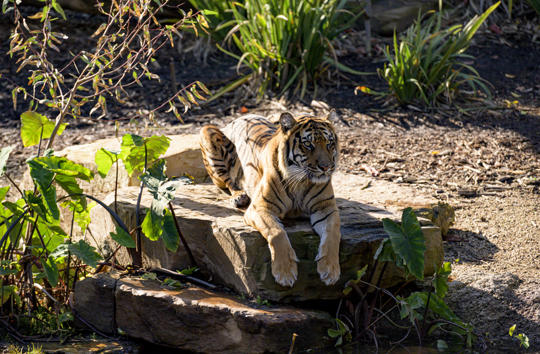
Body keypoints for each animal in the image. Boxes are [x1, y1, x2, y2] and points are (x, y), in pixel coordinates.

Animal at [198, 111, 342, 288]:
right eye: (308, 144)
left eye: (329, 143)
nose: (326, 167)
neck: (301, 181)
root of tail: (238, 118)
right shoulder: (259, 208)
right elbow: (276, 232)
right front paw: (285, 272)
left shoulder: (326, 208)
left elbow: (333, 234)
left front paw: (330, 270)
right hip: (207, 132)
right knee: (228, 181)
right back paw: (239, 196)